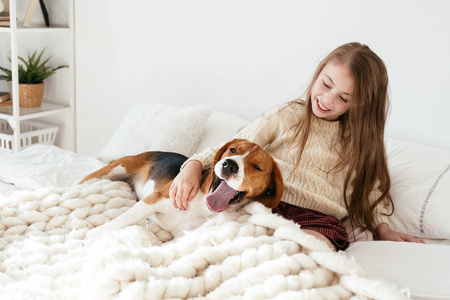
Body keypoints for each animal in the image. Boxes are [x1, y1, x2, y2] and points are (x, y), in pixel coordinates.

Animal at [81, 138, 282, 239]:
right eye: (232, 150)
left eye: (256, 166)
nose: (229, 165)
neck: (202, 206)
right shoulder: (153, 200)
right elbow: (124, 219)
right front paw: (96, 234)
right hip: (110, 171)